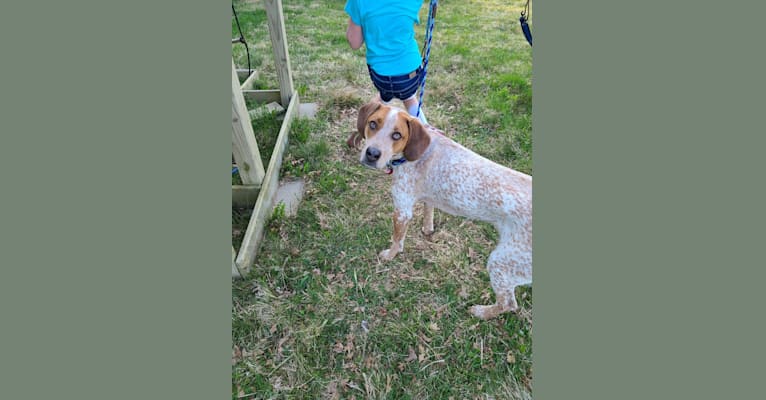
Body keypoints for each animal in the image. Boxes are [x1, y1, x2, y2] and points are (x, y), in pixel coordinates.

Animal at [356, 101, 532, 320]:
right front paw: (428, 229)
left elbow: (397, 240)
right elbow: (428, 212)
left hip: (501, 262)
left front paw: (390, 255)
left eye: (397, 135)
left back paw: (481, 312)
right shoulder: (427, 197)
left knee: (508, 303)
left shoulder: (402, 210)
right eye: (373, 124)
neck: (414, 155)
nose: (372, 154)